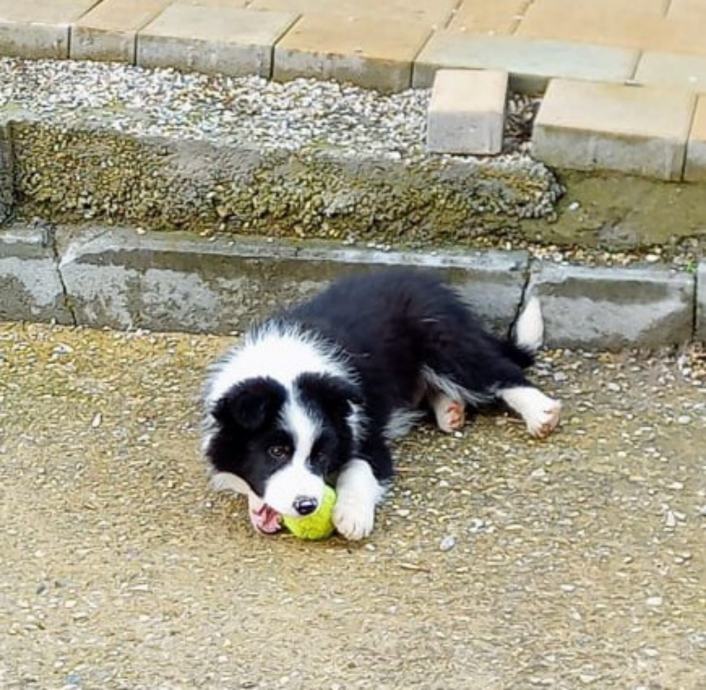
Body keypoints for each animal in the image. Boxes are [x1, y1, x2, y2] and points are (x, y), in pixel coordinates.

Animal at [201, 269, 560, 540]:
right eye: (276, 452)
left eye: (321, 455)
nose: (307, 506)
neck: (284, 365)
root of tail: (419, 277)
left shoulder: (366, 430)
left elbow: (363, 466)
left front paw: (352, 515)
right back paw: (450, 410)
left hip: (443, 340)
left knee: (499, 371)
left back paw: (541, 412)